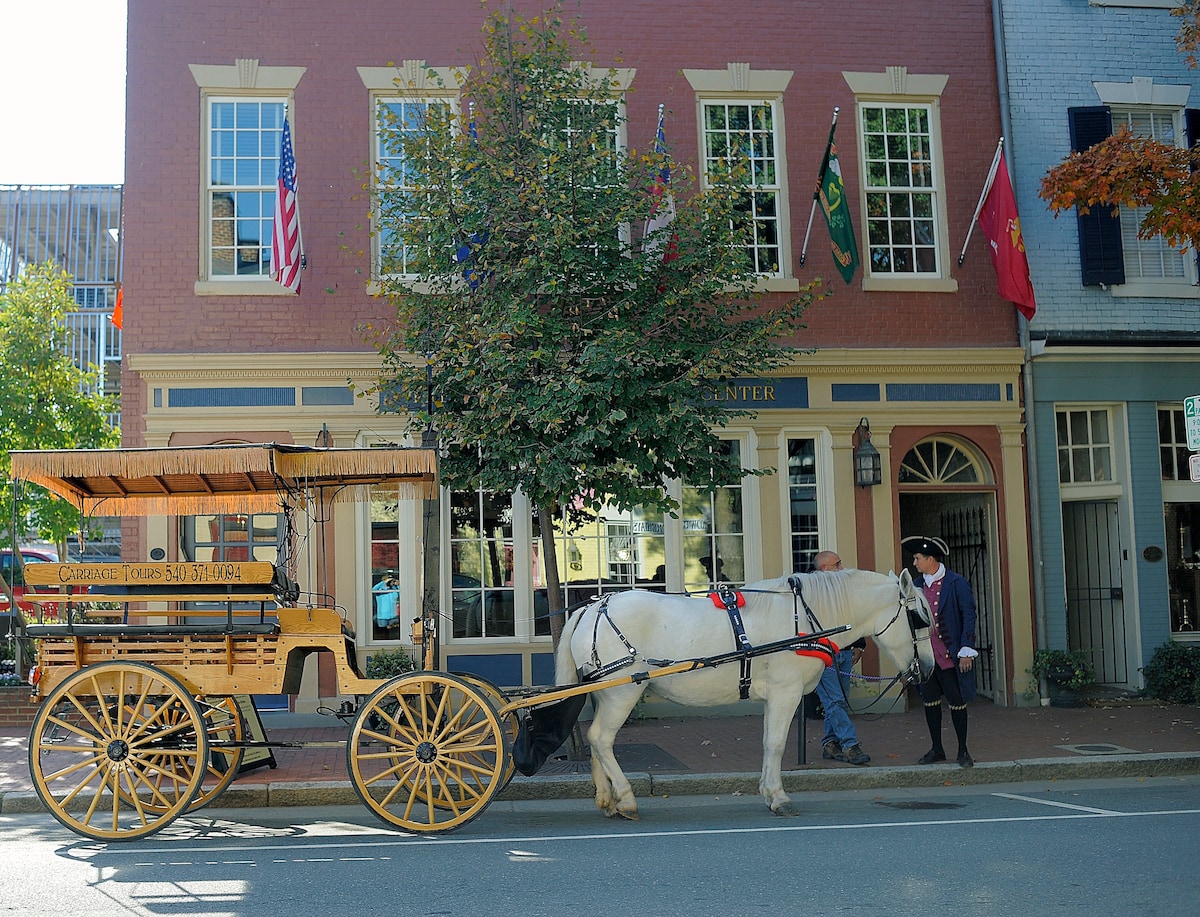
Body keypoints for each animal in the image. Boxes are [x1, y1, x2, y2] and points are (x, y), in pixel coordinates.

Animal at [554, 568, 936, 820]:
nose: (930, 669)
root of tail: (592, 607)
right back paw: (627, 798)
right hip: (624, 691)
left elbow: (768, 742)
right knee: (601, 738)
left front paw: (768, 792)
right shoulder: (786, 692)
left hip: (604, 691)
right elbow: (776, 744)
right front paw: (779, 797)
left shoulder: (775, 697)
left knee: (596, 740)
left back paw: (606, 799)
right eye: (919, 617)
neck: (803, 618)